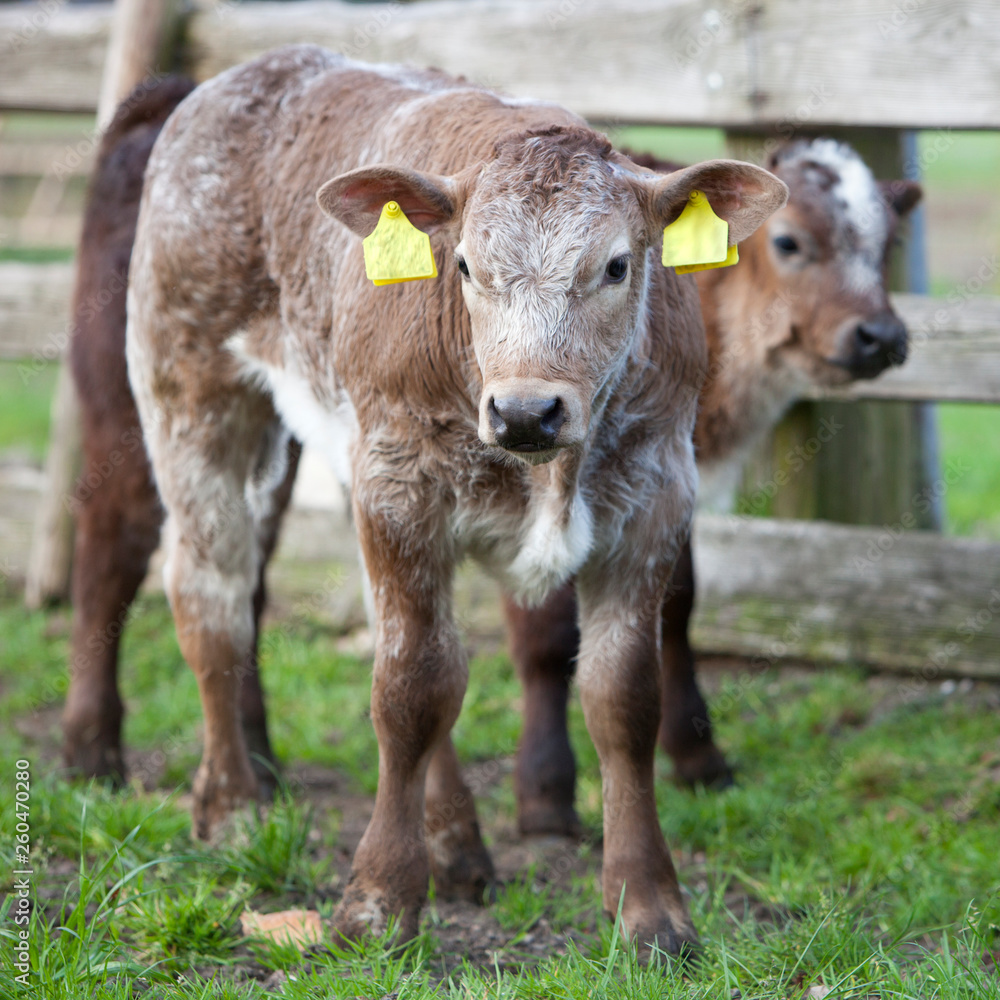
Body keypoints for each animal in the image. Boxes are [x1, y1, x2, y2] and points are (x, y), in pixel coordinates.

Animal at [123, 47, 780, 948]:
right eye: (465, 265)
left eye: (616, 265)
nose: (528, 410)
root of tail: (249, 73)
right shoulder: (401, 491)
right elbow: (410, 692)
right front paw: (379, 898)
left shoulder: (654, 502)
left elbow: (621, 699)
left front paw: (649, 908)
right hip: (190, 387)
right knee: (211, 597)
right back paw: (231, 806)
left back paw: (458, 849)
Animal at [508, 135, 920, 836]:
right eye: (788, 242)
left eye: (888, 243)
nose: (882, 336)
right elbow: (544, 626)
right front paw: (543, 790)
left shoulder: (672, 482)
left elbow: (676, 603)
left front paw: (696, 752)